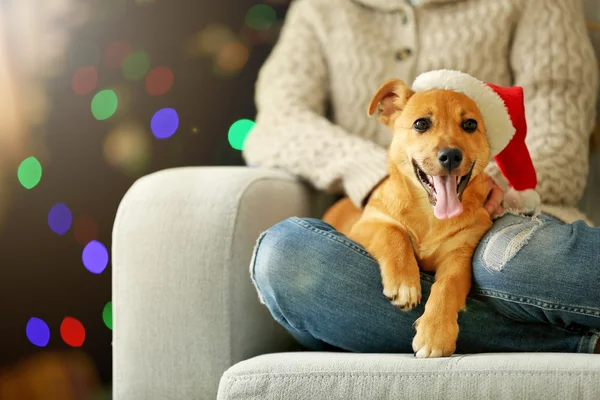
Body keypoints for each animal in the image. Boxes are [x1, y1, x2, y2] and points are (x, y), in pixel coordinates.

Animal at [324, 76, 496, 358]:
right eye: (421, 124)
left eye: (470, 125)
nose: (451, 156)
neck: (430, 215)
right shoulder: (366, 225)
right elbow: (394, 232)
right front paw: (404, 284)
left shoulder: (460, 252)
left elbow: (447, 284)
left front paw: (435, 333)